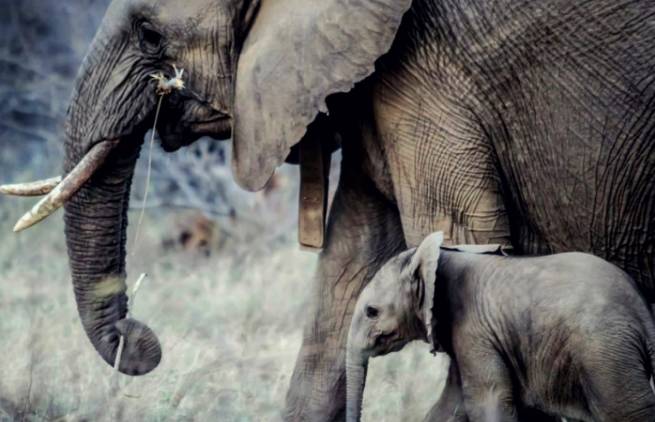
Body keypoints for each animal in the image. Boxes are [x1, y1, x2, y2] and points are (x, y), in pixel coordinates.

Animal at [346, 232, 652, 422]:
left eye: (371, 312)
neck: (438, 257)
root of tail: (642, 309)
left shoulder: (474, 329)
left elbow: (487, 400)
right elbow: (451, 405)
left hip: (605, 354)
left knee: (625, 412)